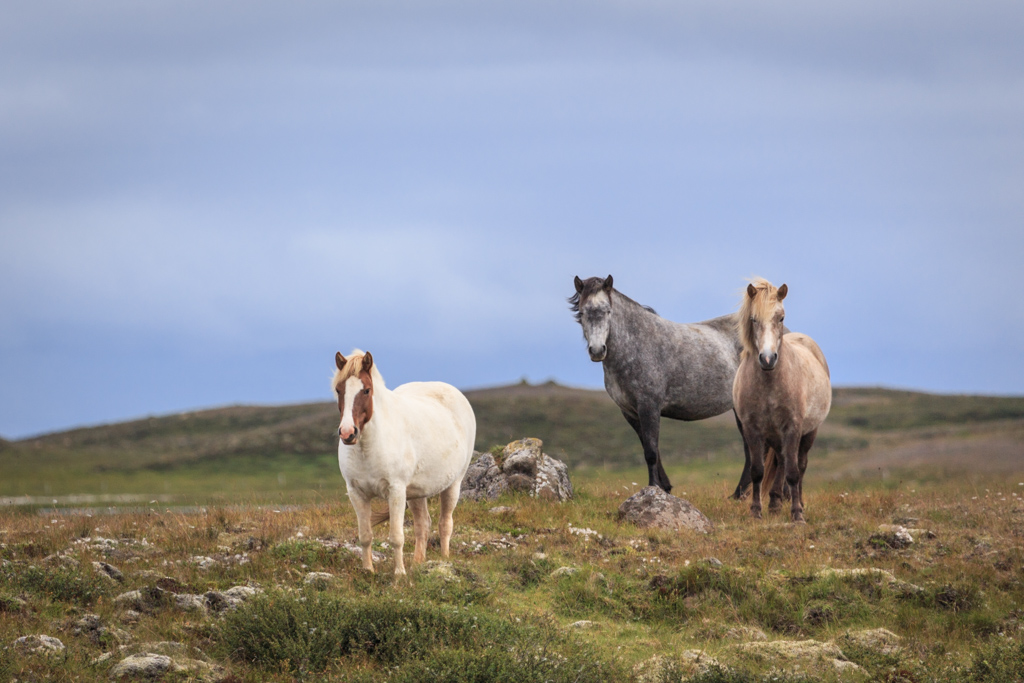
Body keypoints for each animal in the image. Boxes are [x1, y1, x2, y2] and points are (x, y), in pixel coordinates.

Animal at [331, 348, 475, 577]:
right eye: (339, 389)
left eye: (366, 390)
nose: (347, 433)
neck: (368, 448)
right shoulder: (357, 494)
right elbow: (365, 536)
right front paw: (368, 570)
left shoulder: (396, 491)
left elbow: (396, 537)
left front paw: (399, 574)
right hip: (417, 493)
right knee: (423, 525)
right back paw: (418, 563)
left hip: (453, 484)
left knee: (445, 523)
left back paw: (444, 559)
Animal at [573, 274, 757, 493]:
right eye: (582, 312)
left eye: (608, 311)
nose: (597, 350)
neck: (636, 345)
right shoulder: (631, 412)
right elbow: (651, 449)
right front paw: (665, 487)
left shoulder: (649, 406)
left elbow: (651, 452)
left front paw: (653, 488)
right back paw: (739, 495)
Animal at [729, 278, 831, 524]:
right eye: (753, 319)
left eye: (781, 318)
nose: (767, 359)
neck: (770, 384)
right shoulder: (752, 429)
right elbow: (757, 471)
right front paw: (756, 512)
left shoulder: (792, 427)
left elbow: (793, 473)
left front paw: (797, 515)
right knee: (781, 462)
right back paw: (774, 503)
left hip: (807, 433)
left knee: (799, 466)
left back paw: (798, 503)